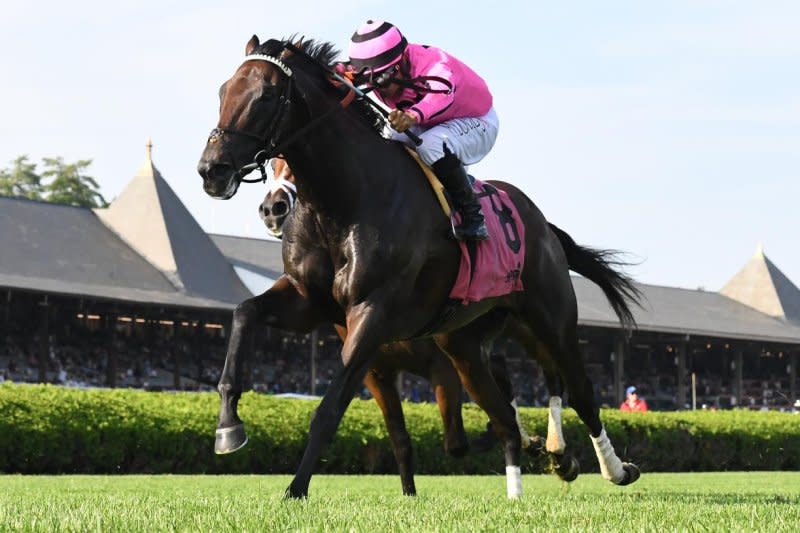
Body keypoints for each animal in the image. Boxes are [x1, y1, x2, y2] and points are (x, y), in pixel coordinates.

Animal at [200, 37, 644, 498]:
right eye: (223, 91)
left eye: (266, 96)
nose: (212, 170)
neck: (344, 200)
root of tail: (542, 224)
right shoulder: (311, 303)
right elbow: (244, 313)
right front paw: (229, 427)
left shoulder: (372, 314)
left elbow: (329, 410)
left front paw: (296, 489)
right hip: (464, 345)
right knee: (504, 412)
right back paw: (536, 468)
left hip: (550, 321)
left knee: (579, 392)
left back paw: (612, 467)